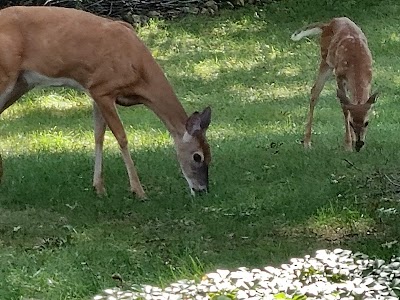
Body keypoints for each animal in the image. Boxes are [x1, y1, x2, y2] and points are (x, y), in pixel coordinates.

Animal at [0, 5, 212, 198]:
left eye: (210, 155)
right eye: (197, 157)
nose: (202, 190)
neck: (138, 68)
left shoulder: (95, 93)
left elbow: (98, 135)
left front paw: (99, 188)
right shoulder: (102, 88)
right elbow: (121, 137)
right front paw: (138, 190)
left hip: (21, 83)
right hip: (7, 76)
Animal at [290, 17, 378, 152]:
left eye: (366, 122)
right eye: (351, 123)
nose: (359, 144)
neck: (357, 64)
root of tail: (327, 24)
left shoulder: (369, 78)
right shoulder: (339, 76)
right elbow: (345, 109)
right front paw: (348, 145)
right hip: (326, 60)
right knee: (315, 91)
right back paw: (307, 142)